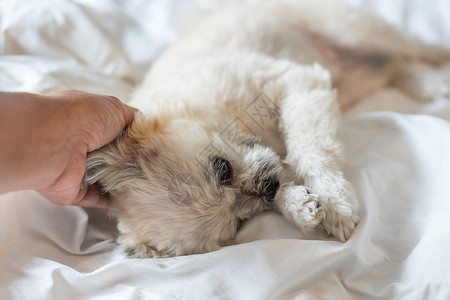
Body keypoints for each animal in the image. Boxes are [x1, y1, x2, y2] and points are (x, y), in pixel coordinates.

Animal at [82, 0, 448, 258]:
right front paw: (300, 207)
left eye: (222, 168)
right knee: (392, 66)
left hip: (353, 30)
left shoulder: (298, 83)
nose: (266, 188)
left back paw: (436, 70)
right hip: (351, 81)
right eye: (239, 221)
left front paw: (335, 200)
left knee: (413, 47)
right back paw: (425, 84)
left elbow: (310, 150)